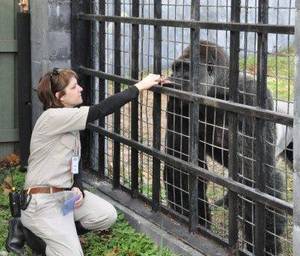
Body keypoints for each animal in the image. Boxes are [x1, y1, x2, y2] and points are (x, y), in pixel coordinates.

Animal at [164, 40, 286, 254]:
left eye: (185, 69)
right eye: (175, 68)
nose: (173, 77)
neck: (218, 90)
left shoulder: (253, 95)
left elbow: (255, 175)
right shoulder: (178, 103)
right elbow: (181, 165)